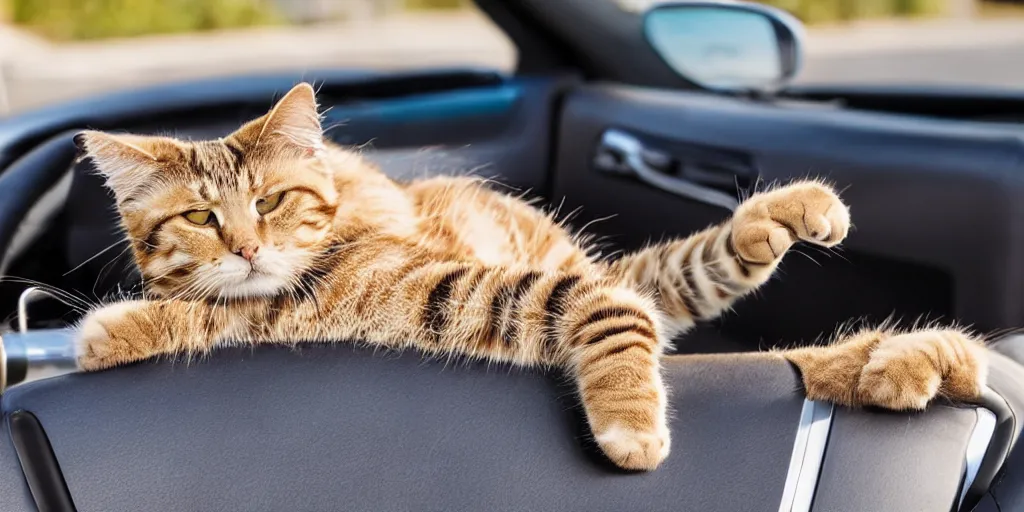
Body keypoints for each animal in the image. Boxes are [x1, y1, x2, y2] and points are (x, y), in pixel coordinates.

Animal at [75, 81, 987, 468]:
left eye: (270, 201)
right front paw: (124, 327)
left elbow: (614, 317)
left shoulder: (476, 287)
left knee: (667, 283)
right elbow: (209, 314)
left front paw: (630, 423)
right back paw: (907, 360)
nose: (244, 248)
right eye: (200, 217)